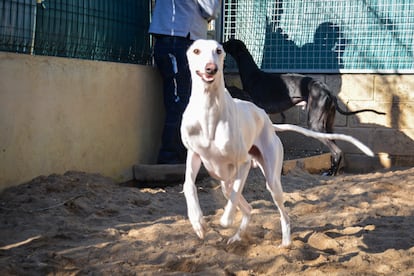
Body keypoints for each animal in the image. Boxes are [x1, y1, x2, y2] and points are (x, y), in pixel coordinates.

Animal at [223, 39, 384, 175]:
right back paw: (332, 171)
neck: (253, 75)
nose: (221, 44)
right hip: (328, 124)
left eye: (229, 42)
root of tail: (327, 90)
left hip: (315, 124)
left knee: (337, 151)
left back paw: (331, 172)